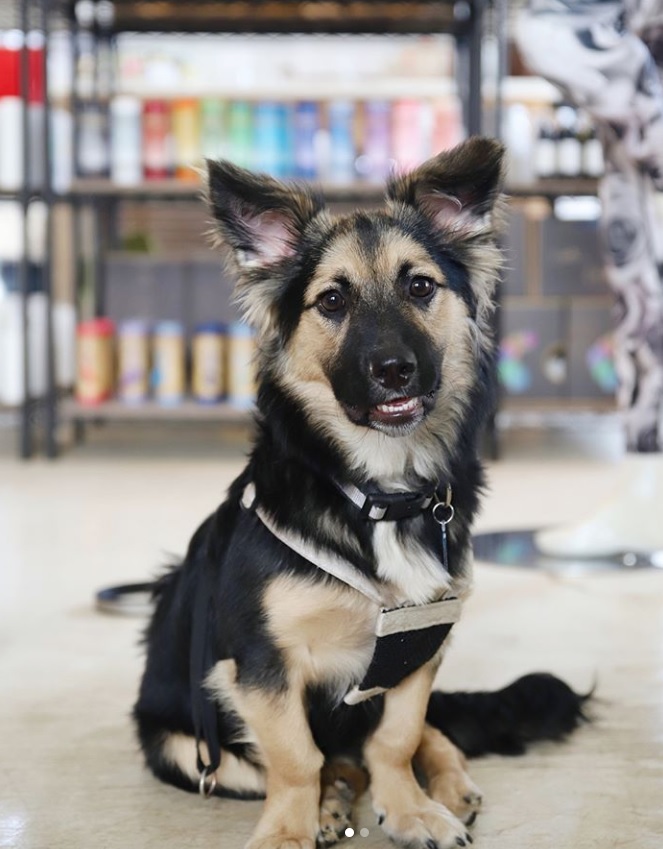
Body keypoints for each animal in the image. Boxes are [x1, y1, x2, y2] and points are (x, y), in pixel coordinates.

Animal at [134, 139, 588, 848]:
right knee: (309, 763)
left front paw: (409, 809)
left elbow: (397, 739)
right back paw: (330, 804)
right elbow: (296, 758)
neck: (378, 492)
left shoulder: (420, 646)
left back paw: (446, 787)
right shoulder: (259, 666)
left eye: (420, 286)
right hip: (185, 746)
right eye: (331, 301)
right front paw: (290, 830)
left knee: (416, 739)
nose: (394, 370)